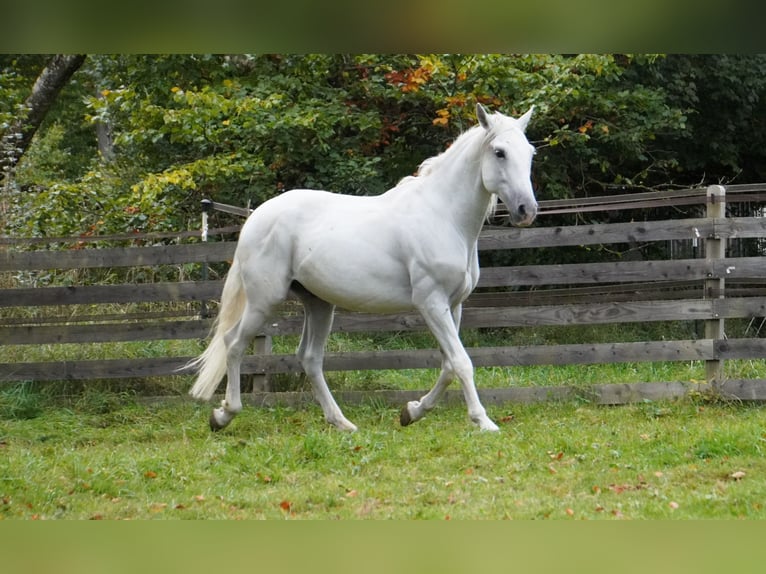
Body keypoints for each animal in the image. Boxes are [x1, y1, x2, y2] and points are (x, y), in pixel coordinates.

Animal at [187, 103, 537, 432]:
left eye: (530, 153)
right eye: (499, 152)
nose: (527, 210)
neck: (442, 216)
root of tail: (255, 217)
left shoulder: (454, 305)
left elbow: (449, 365)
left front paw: (411, 412)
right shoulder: (431, 303)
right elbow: (462, 362)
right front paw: (483, 421)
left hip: (318, 303)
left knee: (309, 358)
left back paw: (342, 422)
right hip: (264, 300)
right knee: (233, 343)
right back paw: (223, 415)